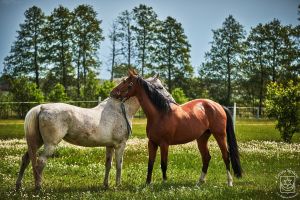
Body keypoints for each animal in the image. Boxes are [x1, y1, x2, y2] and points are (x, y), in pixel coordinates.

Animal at [16, 75, 172, 191]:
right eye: (160, 87)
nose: (171, 99)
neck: (120, 110)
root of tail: (41, 108)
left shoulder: (109, 146)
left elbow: (108, 164)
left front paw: (106, 185)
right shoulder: (120, 145)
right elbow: (119, 164)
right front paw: (118, 185)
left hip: (37, 141)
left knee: (26, 159)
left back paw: (19, 186)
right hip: (50, 144)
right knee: (40, 162)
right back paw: (38, 187)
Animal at [110, 70, 241, 186]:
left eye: (126, 82)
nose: (112, 92)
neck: (160, 114)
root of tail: (218, 106)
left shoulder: (164, 144)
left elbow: (163, 163)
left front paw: (164, 182)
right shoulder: (152, 143)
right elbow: (150, 163)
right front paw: (147, 183)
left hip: (220, 135)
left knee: (226, 156)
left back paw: (229, 182)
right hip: (202, 138)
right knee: (206, 157)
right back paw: (200, 182)